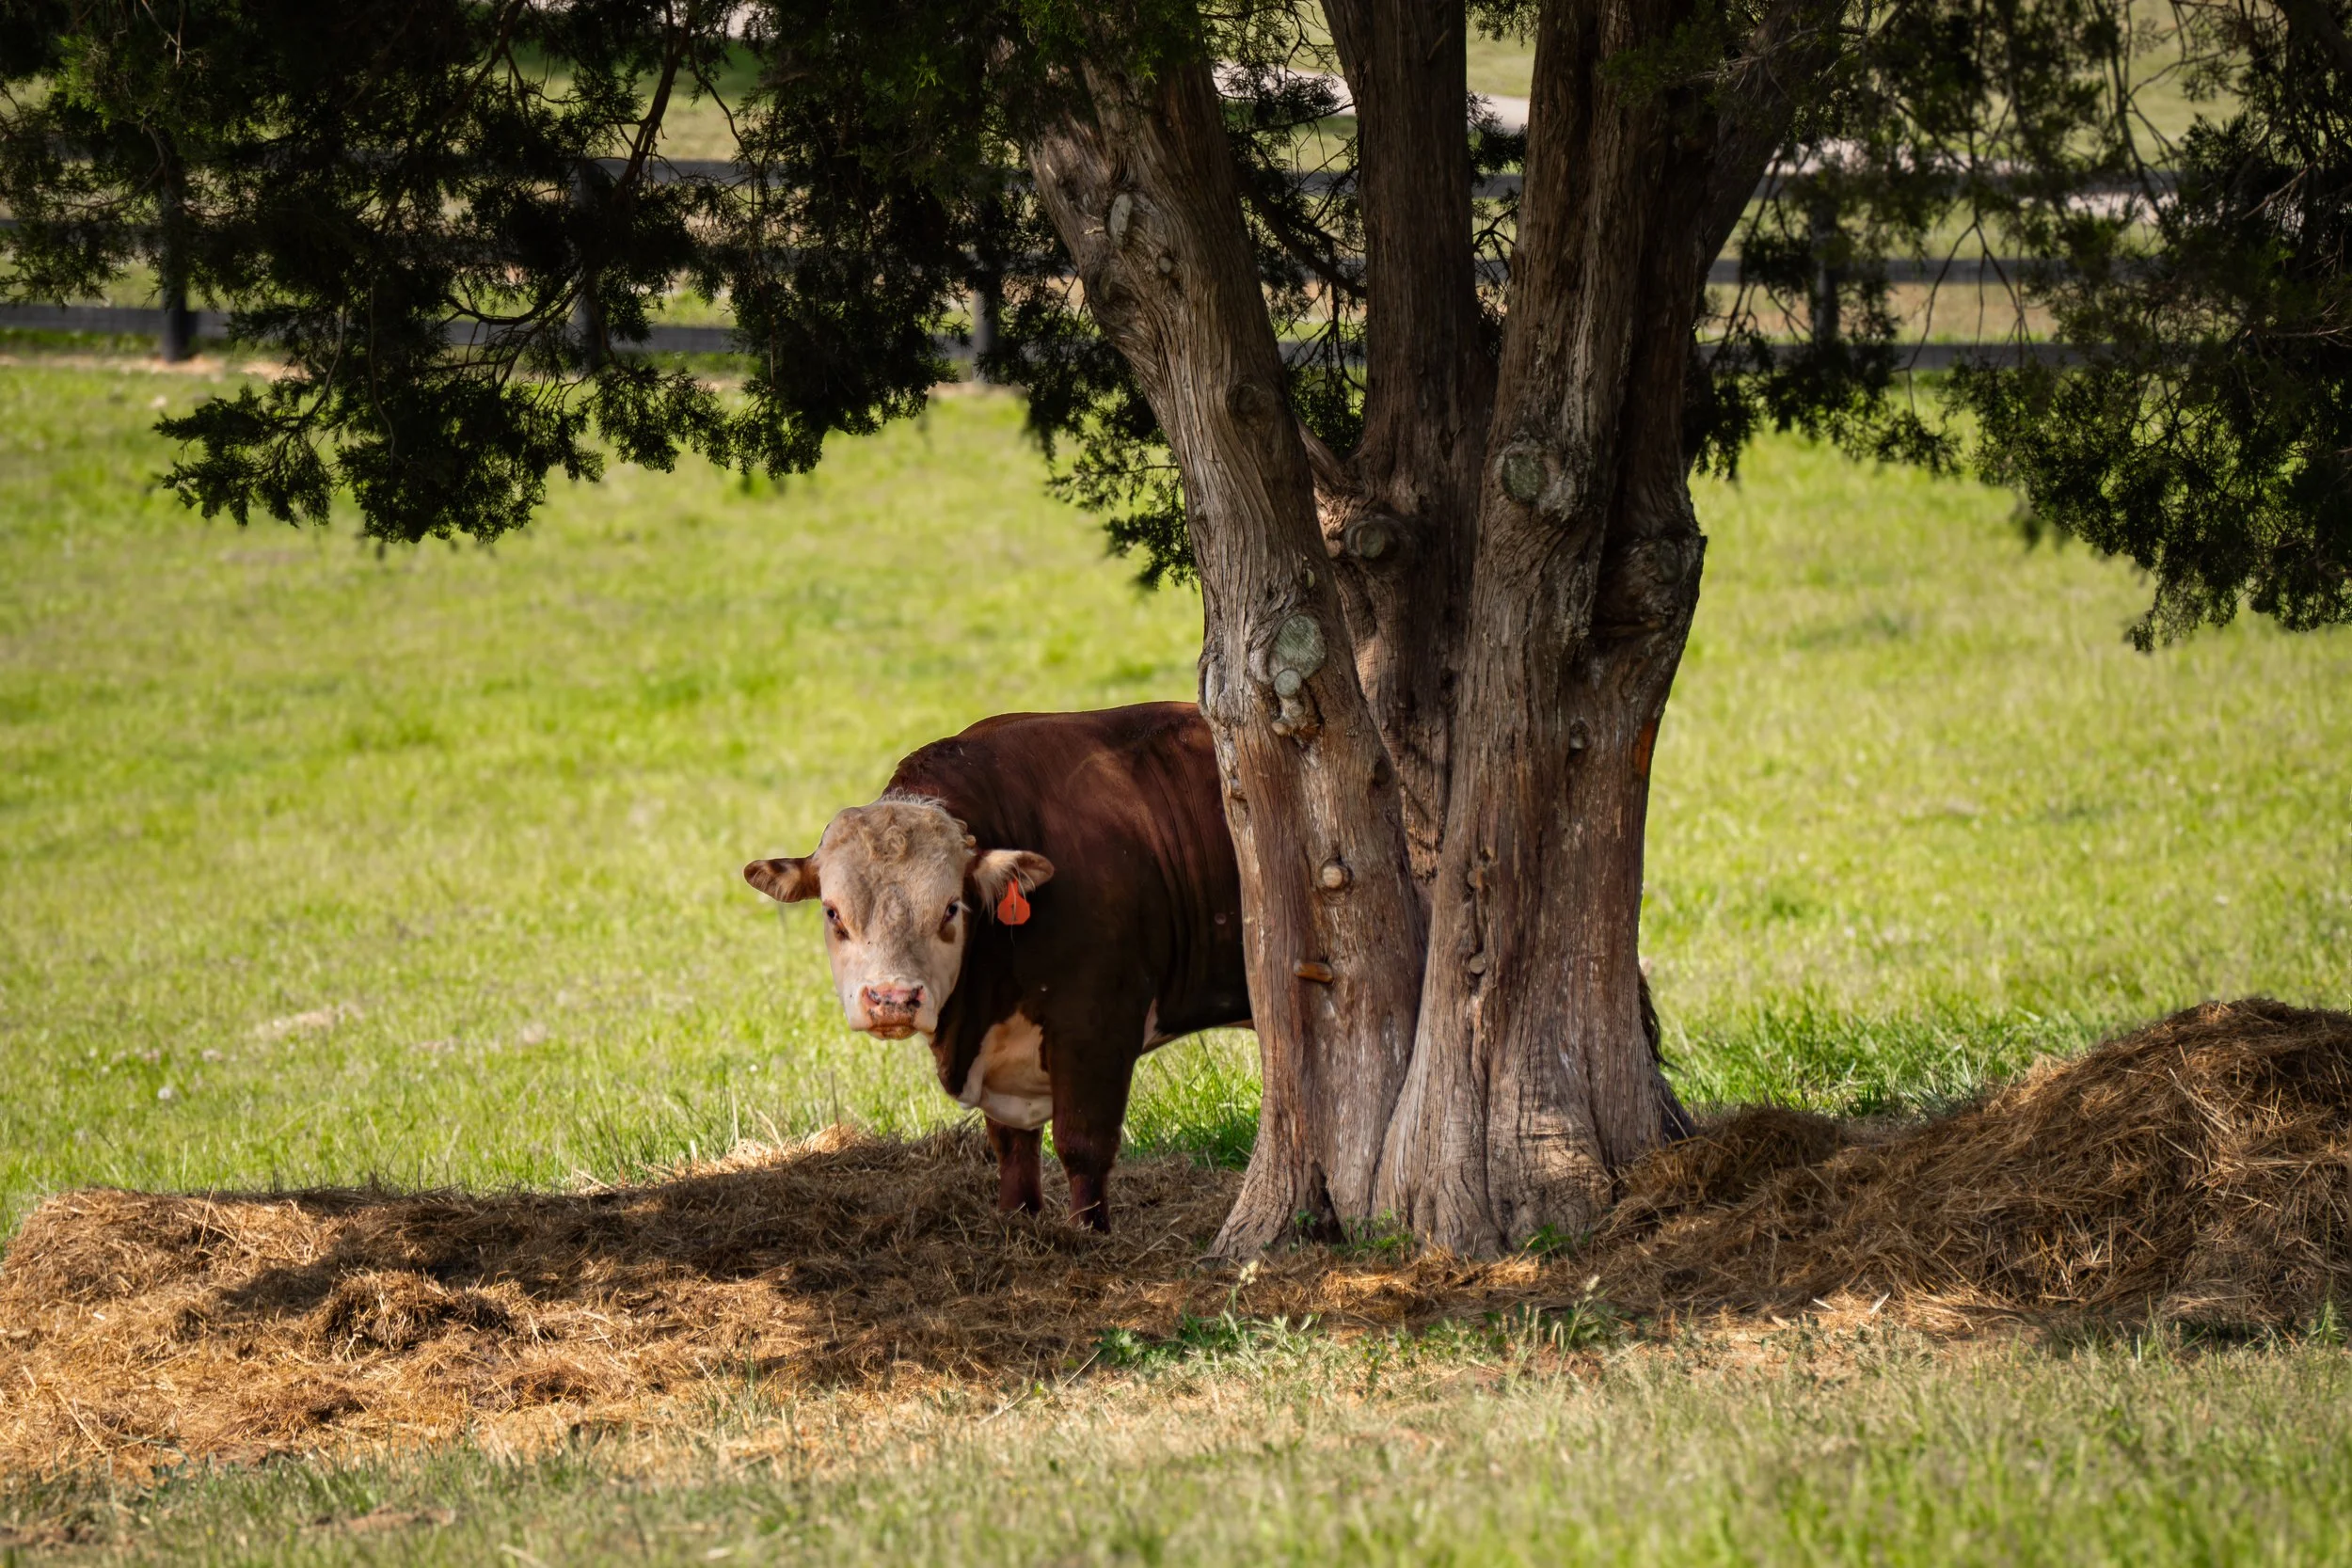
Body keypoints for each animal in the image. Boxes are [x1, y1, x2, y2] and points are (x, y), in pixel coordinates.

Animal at [744, 702, 1251, 1231]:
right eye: (832, 912)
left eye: (951, 908)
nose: (893, 1000)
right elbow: (1013, 1151)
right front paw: (1016, 1218)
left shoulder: (1101, 1025)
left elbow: (1083, 1146)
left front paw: (1087, 1235)